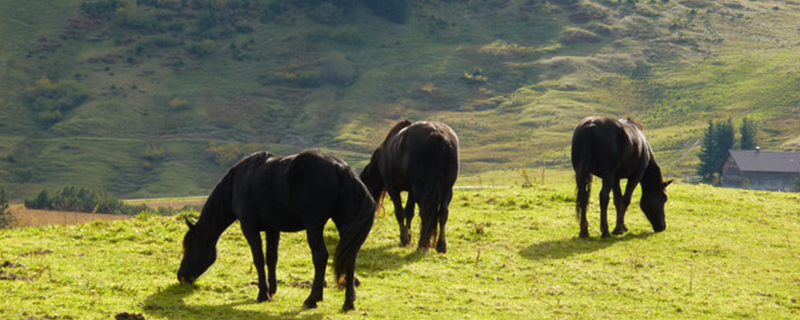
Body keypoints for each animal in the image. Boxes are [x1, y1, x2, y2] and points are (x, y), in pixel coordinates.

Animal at [178, 151, 376, 312]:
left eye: (189, 247)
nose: (181, 276)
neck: (239, 181)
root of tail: (341, 168)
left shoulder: (249, 228)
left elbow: (258, 259)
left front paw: (262, 294)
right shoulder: (273, 228)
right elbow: (272, 257)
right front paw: (271, 290)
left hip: (314, 226)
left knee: (320, 256)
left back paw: (312, 299)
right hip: (344, 225)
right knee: (350, 257)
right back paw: (348, 303)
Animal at [360, 119, 460, 252]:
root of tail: (440, 135)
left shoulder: (393, 189)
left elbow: (399, 213)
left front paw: (404, 239)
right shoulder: (411, 191)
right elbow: (409, 212)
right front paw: (408, 237)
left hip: (421, 188)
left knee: (425, 212)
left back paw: (422, 244)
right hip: (448, 187)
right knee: (443, 212)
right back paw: (441, 246)